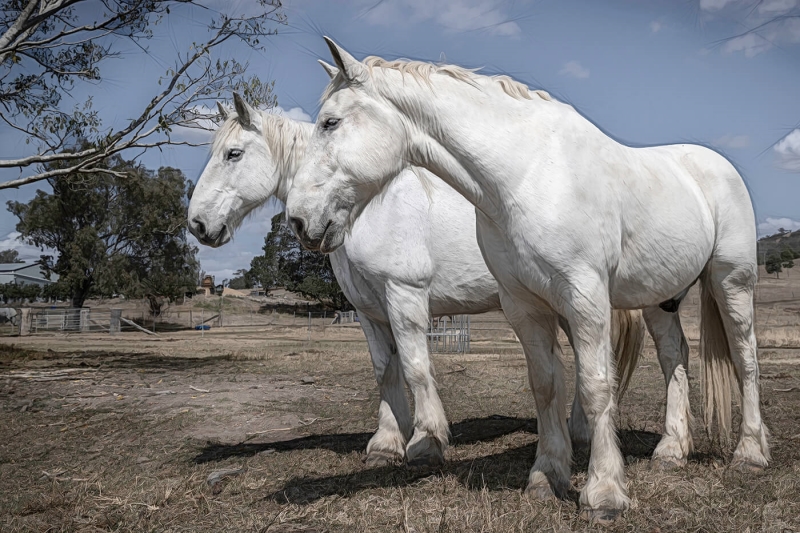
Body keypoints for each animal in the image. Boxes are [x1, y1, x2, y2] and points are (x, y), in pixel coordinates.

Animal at [184, 92, 648, 470]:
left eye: (233, 153)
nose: (198, 224)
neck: (365, 208)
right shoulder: (369, 311)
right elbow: (385, 371)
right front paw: (387, 443)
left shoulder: (403, 295)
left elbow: (415, 366)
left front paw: (428, 441)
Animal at [286, 39, 768, 520]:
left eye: (330, 122)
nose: (299, 220)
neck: (528, 176)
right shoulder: (524, 307)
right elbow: (545, 386)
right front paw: (546, 477)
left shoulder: (585, 298)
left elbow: (595, 386)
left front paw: (604, 493)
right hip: (659, 299)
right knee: (674, 358)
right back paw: (672, 451)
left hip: (731, 282)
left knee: (745, 358)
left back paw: (750, 452)